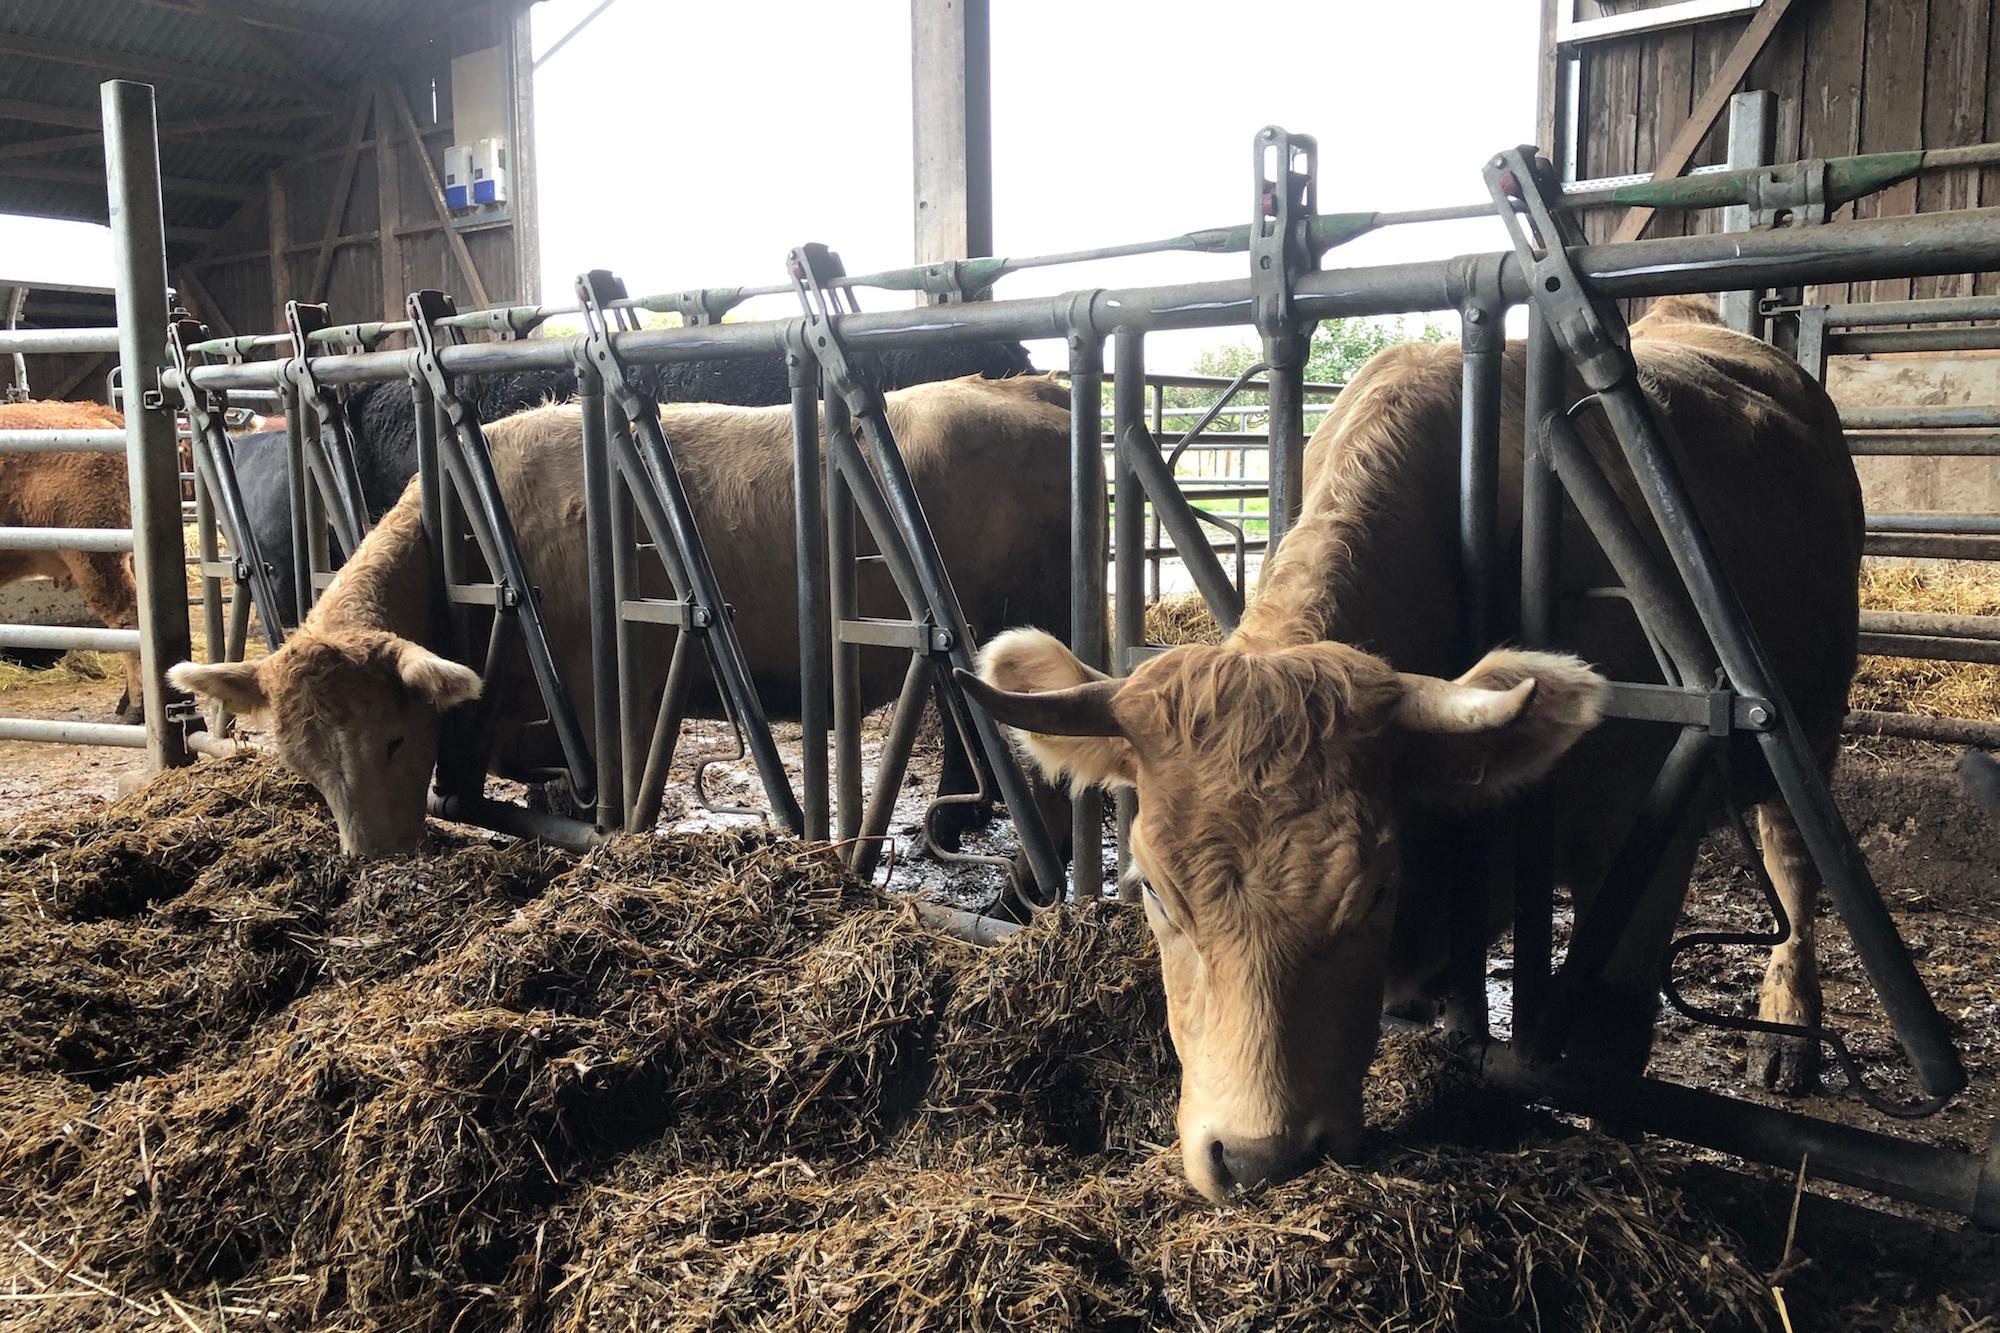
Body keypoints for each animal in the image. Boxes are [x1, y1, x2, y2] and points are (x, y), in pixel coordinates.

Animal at [960, 298, 1864, 1192]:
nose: (1258, 1157)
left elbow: (1613, 1045)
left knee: (1794, 857)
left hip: (1809, 720)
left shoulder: (1642, 841)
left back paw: (1790, 1027)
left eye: (1373, 891)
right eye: (1150, 889)